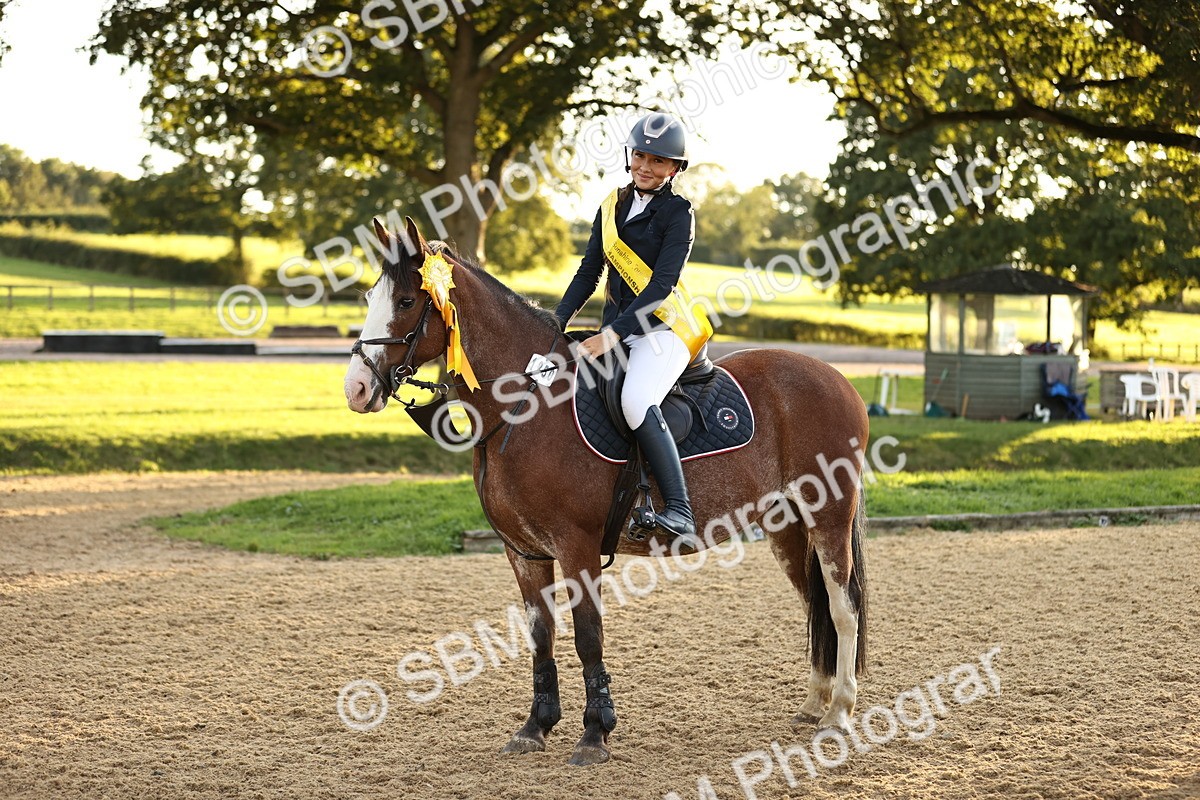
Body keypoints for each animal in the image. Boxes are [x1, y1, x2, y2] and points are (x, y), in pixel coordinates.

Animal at [343, 217, 869, 766]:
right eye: (370, 297)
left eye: (406, 301)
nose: (355, 388)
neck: (526, 405)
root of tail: (837, 378)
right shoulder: (524, 552)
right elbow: (542, 636)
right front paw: (535, 727)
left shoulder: (577, 546)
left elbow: (588, 637)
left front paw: (595, 733)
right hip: (786, 525)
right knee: (814, 603)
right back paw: (814, 704)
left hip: (829, 515)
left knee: (841, 606)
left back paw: (839, 713)